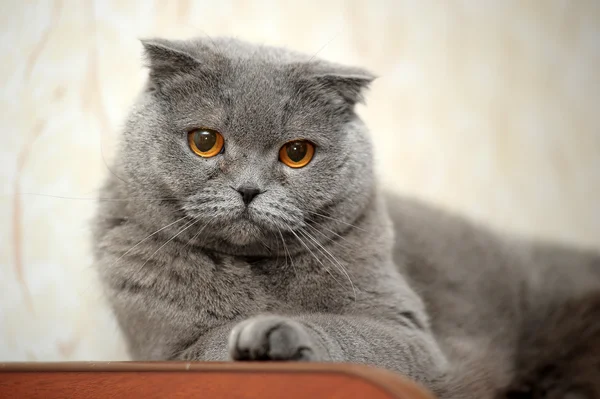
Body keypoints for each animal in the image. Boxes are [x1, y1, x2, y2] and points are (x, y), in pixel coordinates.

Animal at [92, 36, 600, 398]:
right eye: (204, 141)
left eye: (297, 153)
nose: (249, 189)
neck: (256, 273)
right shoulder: (160, 344)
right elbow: (206, 345)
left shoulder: (410, 335)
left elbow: (347, 331)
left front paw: (273, 332)